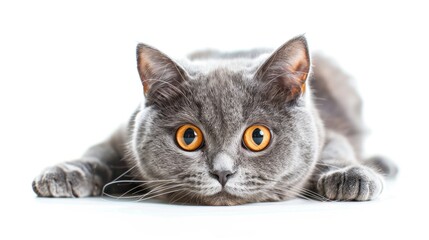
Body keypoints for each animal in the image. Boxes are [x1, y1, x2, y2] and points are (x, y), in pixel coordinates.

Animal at [31, 35, 396, 204]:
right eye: (188, 137)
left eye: (258, 137)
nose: (222, 172)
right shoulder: (122, 134)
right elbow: (97, 151)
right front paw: (64, 173)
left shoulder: (328, 132)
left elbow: (337, 149)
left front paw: (351, 176)